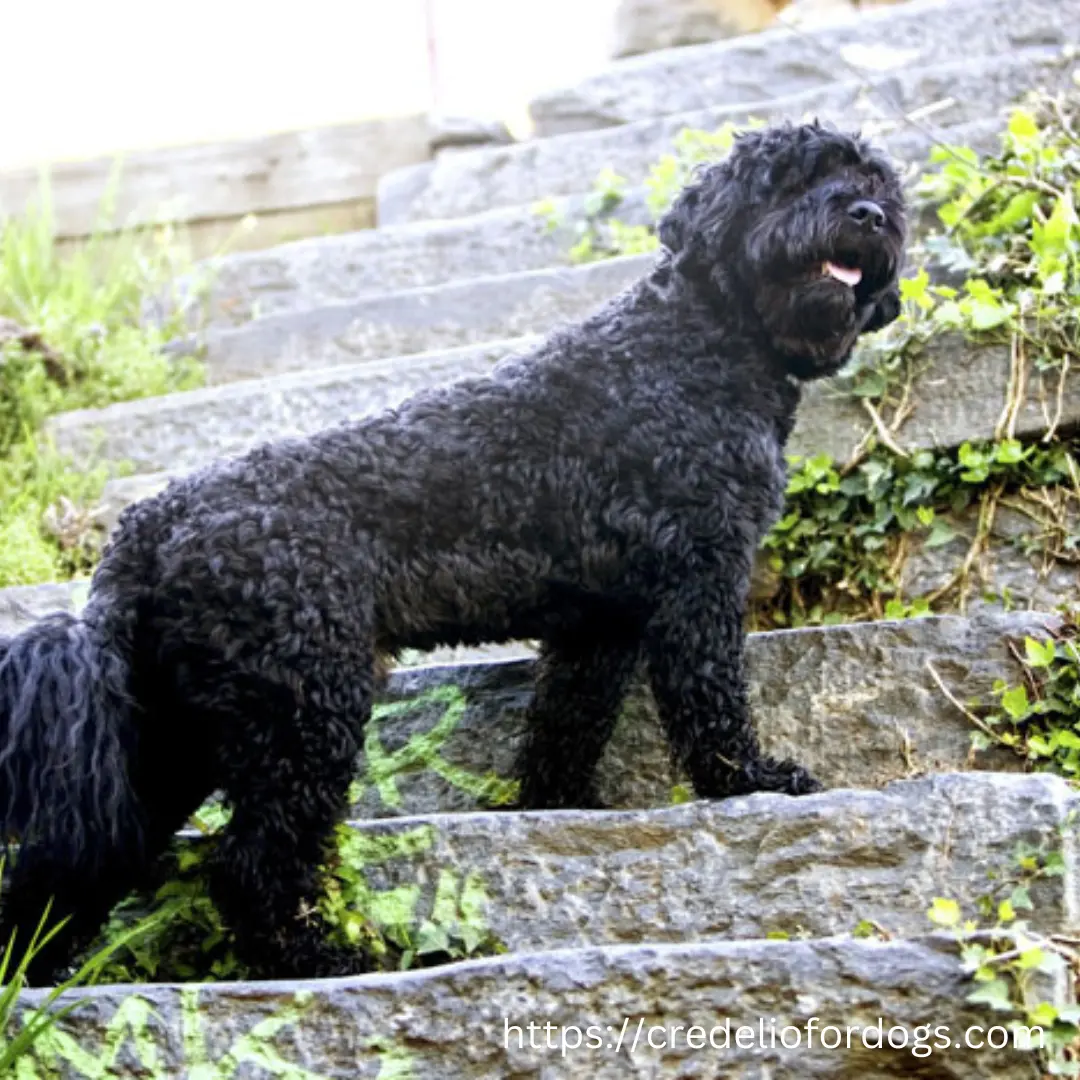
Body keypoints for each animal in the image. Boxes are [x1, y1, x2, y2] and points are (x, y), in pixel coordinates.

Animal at [0, 122, 907, 984]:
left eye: (876, 184)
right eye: (793, 178)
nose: (867, 216)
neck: (697, 345)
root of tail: (141, 534)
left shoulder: (600, 624)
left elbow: (566, 724)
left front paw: (557, 806)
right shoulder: (702, 577)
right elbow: (710, 697)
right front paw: (749, 781)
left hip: (178, 733)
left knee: (78, 863)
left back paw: (34, 977)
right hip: (306, 709)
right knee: (252, 866)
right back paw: (320, 961)